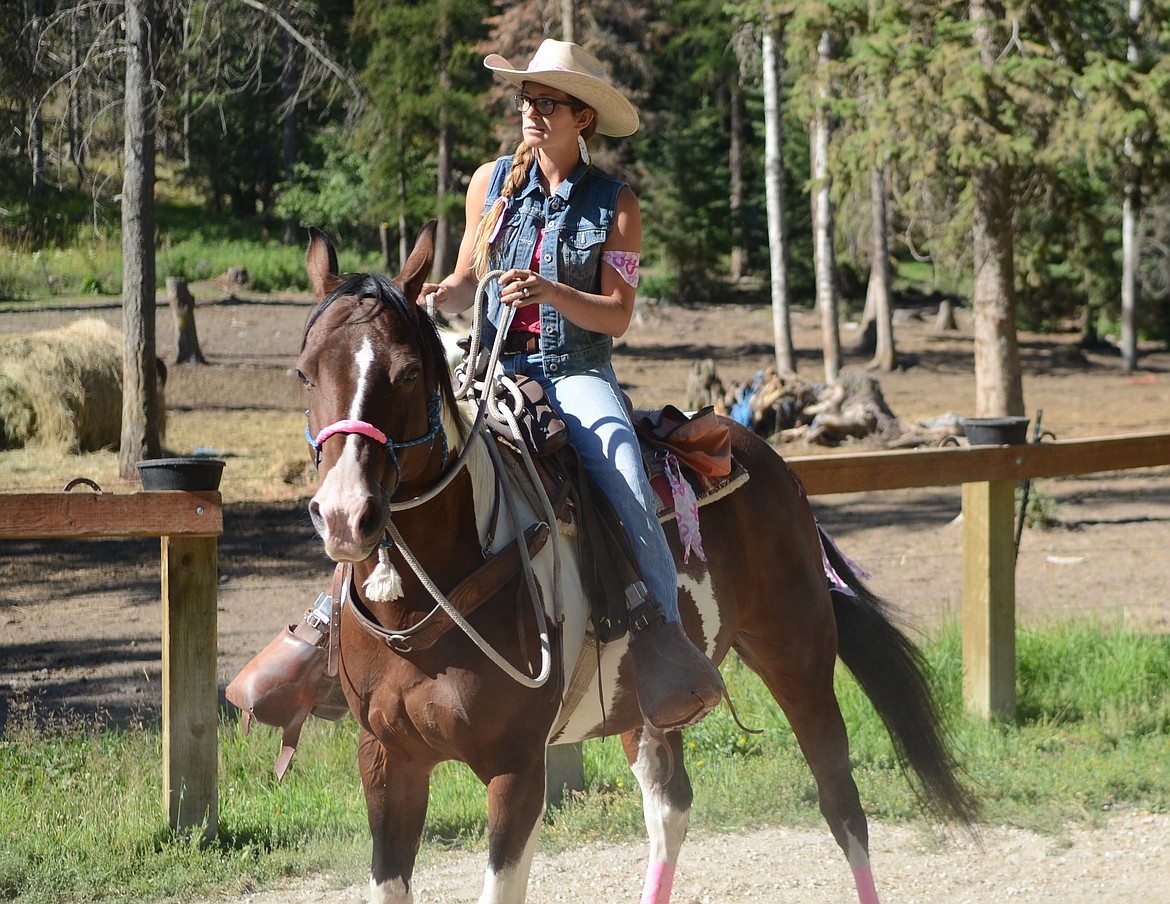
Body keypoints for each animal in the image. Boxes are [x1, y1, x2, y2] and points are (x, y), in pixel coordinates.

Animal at [297, 219, 973, 902]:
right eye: (304, 373)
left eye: (409, 373)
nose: (344, 515)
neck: (424, 597)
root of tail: (773, 463)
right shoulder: (386, 760)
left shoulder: (517, 769)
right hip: (648, 705)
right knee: (670, 807)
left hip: (798, 656)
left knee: (842, 805)